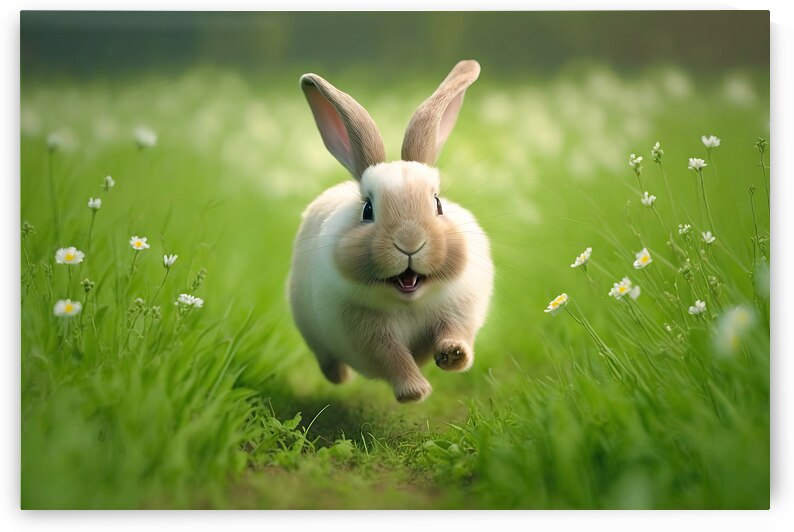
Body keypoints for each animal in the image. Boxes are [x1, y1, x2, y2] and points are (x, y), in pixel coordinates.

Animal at [288, 60, 493, 403]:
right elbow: (393, 359)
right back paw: (340, 377)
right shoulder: (368, 336)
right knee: (328, 361)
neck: (408, 301)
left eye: (437, 204)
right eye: (368, 210)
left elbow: (456, 333)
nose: (409, 242)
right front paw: (415, 392)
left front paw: (453, 356)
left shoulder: (460, 309)